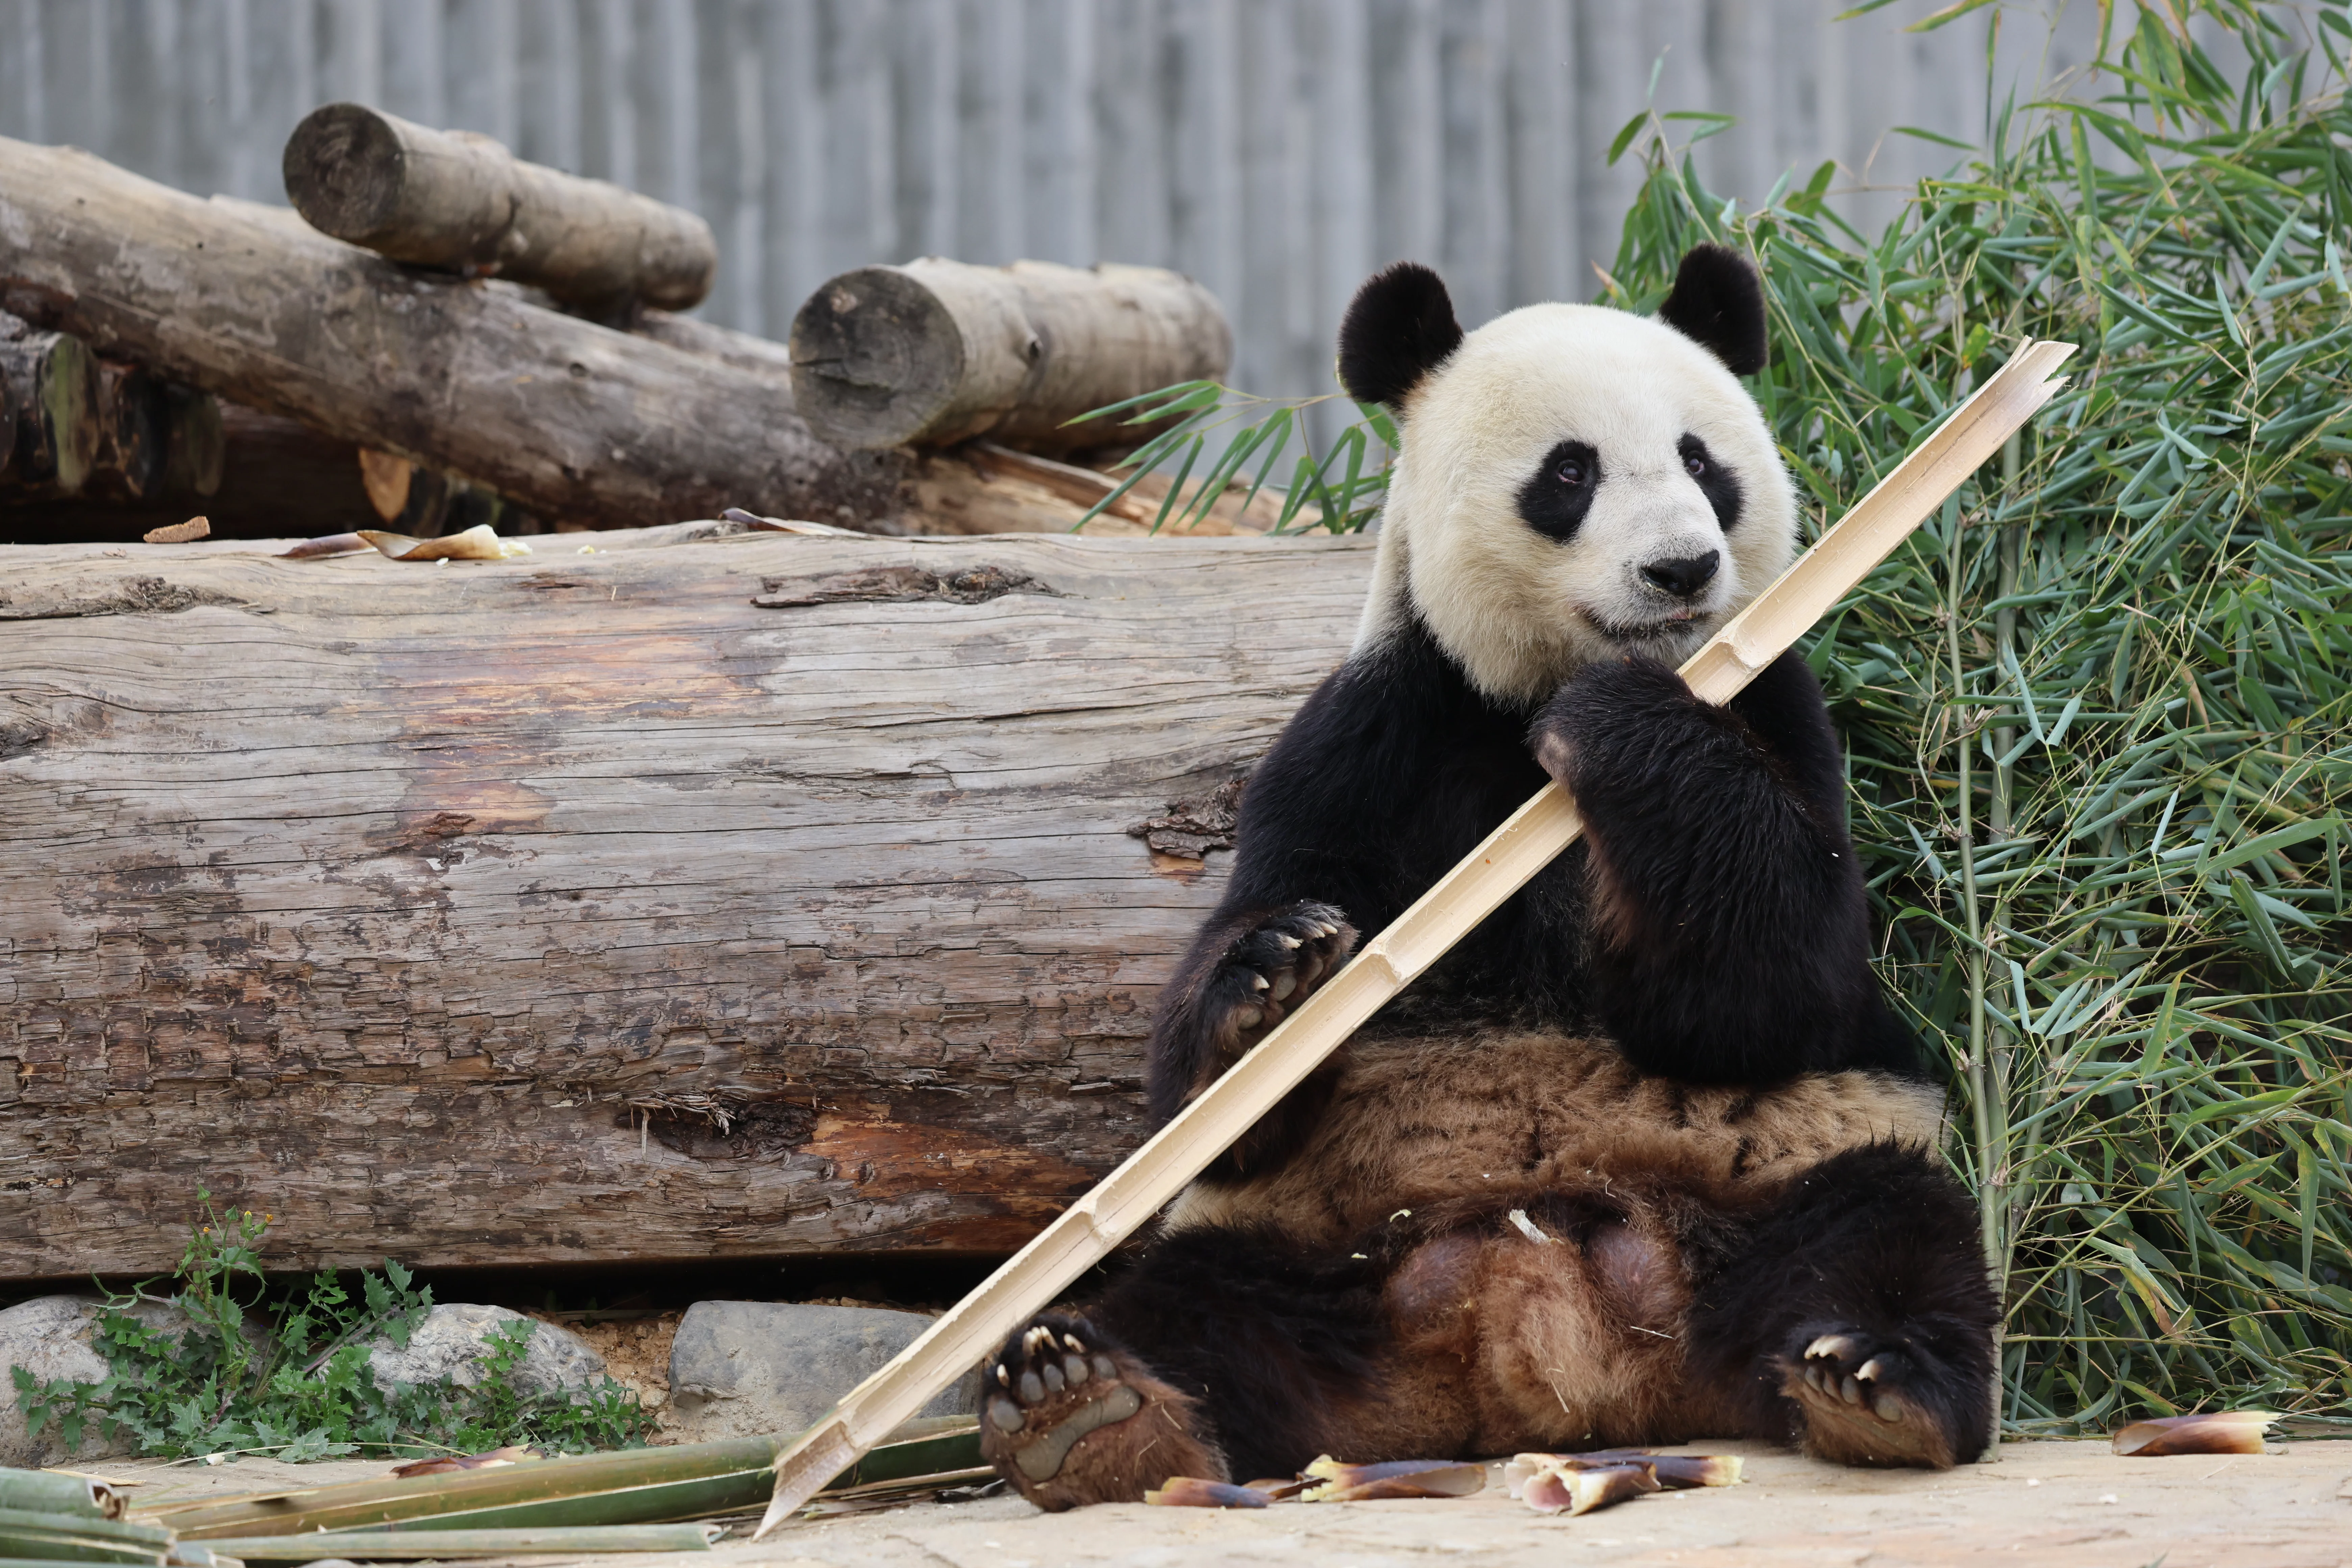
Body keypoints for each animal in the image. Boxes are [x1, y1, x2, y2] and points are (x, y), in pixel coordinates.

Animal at [974, 246, 1998, 1509]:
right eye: (1571, 472)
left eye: (1703, 464)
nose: (1682, 570)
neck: (1531, 696)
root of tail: (1528, 1348)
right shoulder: (1373, 735)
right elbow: (1207, 1111)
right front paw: (1276, 974)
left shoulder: (1777, 709)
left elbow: (1778, 989)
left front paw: (1619, 724)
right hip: (1307, 1249)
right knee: (1191, 1310)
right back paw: (1085, 1410)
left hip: (1787, 1175)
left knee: (1890, 1235)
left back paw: (1879, 1384)